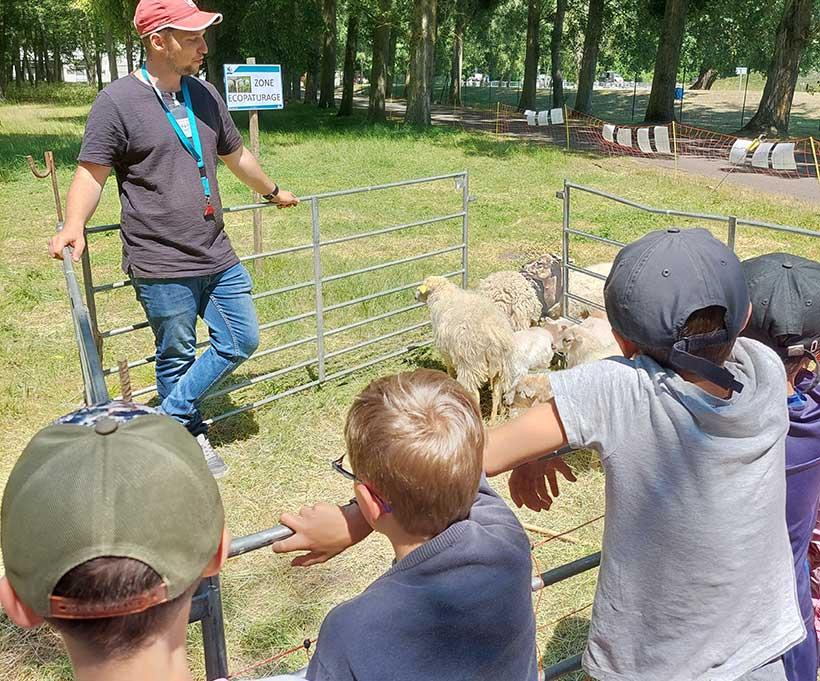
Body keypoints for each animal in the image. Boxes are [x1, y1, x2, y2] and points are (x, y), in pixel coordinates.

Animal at [416, 276, 512, 420]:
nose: (414, 296)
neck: (443, 294)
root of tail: (493, 337)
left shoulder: (445, 350)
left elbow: (449, 367)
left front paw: (449, 377)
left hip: (470, 365)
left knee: (475, 395)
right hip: (502, 367)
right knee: (496, 392)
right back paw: (494, 418)